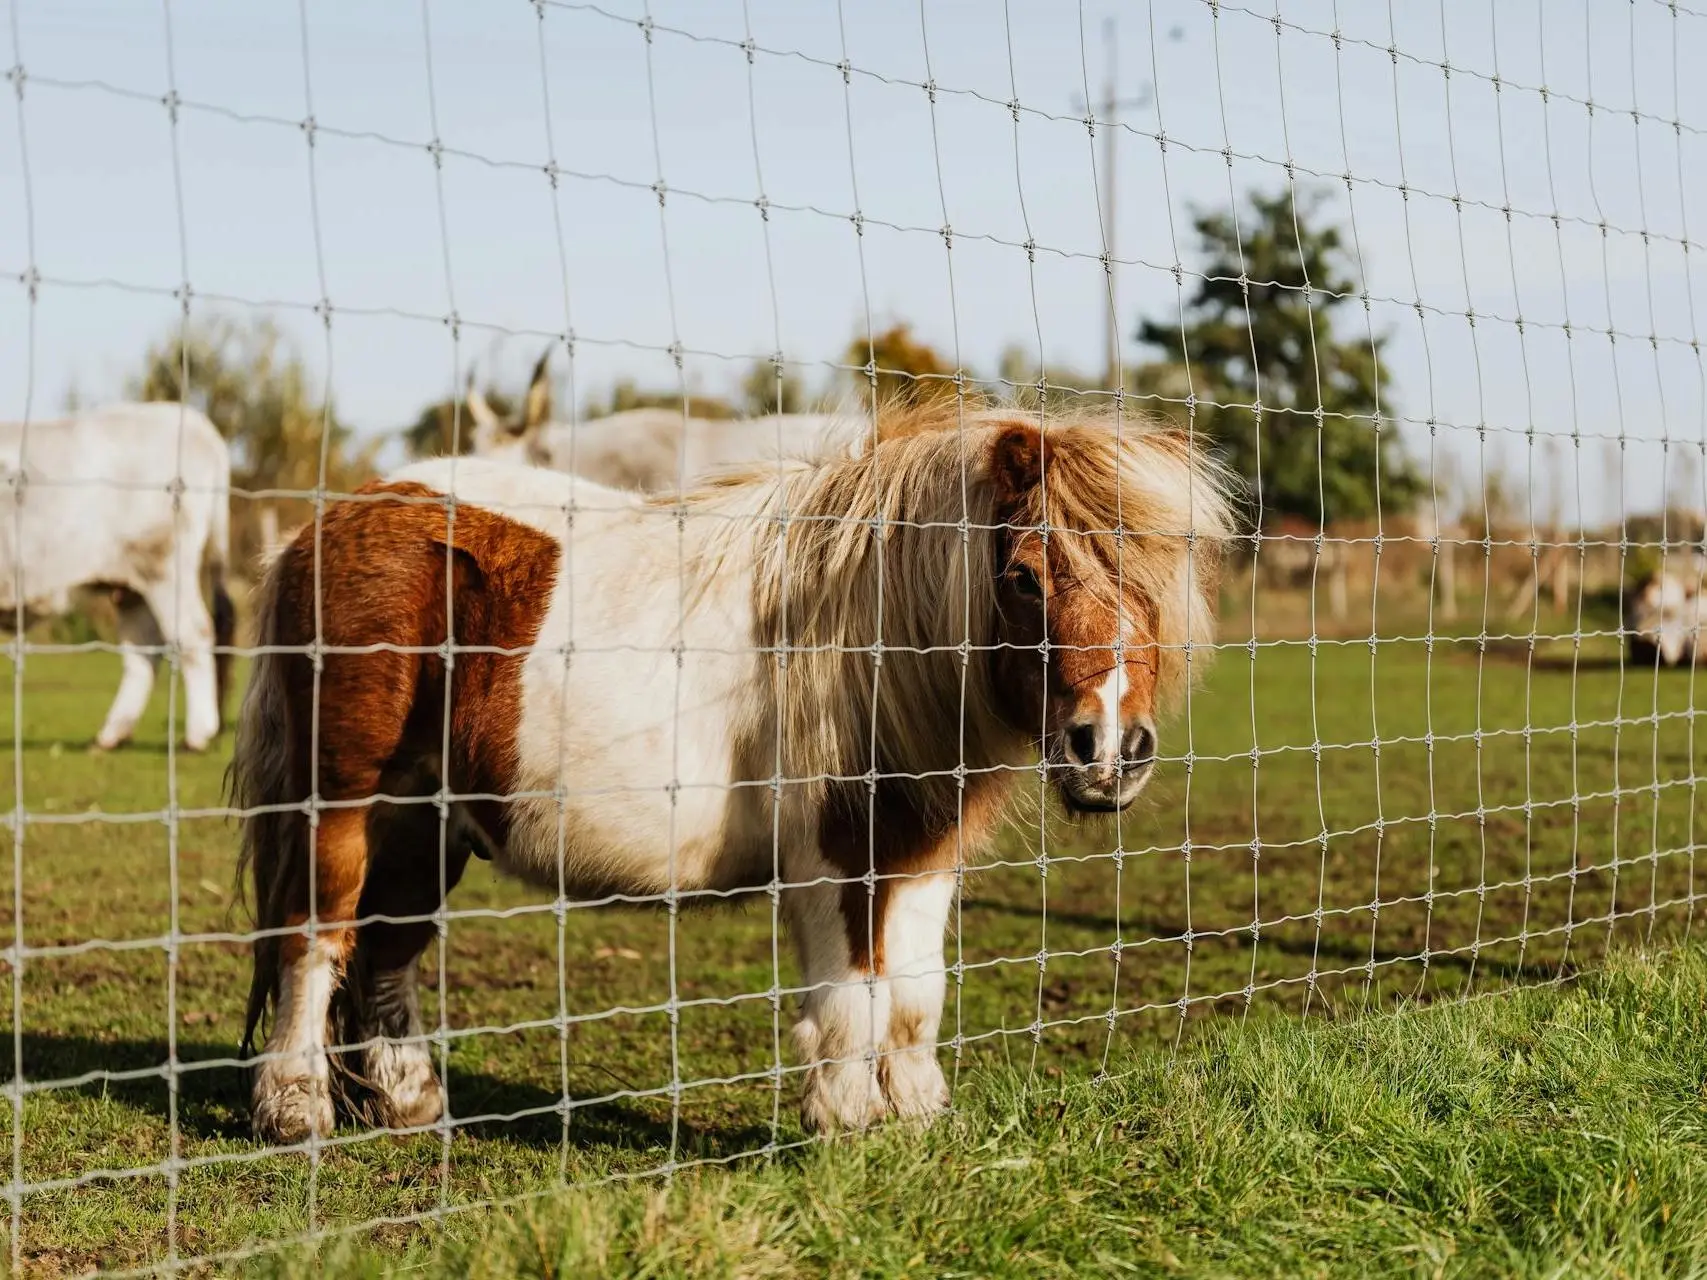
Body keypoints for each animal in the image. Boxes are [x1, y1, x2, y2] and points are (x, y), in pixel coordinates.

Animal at [0, 402, 235, 750]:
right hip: (131, 586)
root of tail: (190, 418)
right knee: (143, 650)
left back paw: (196, 736)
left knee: (194, 634)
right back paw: (111, 735)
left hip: (163, 567)